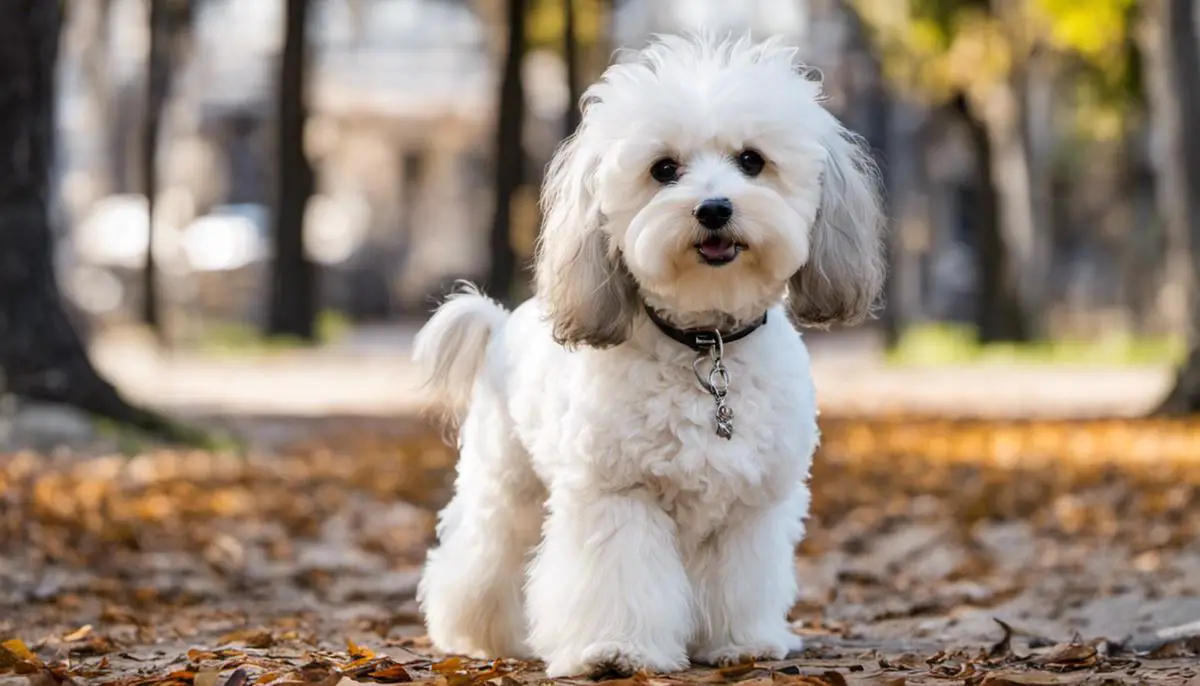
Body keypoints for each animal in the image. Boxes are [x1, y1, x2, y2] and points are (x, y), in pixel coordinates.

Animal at [412, 33, 883, 681]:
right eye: (664, 170)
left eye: (752, 161)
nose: (713, 208)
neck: (706, 343)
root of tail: (503, 325)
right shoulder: (618, 496)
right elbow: (620, 577)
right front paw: (617, 649)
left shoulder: (750, 507)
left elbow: (740, 579)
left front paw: (741, 642)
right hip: (507, 484)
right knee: (483, 554)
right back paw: (478, 633)